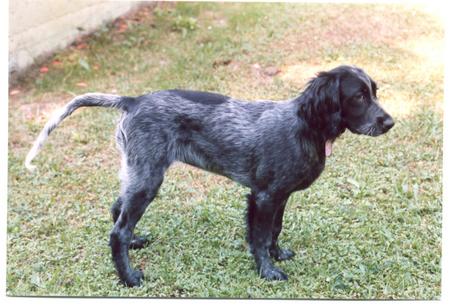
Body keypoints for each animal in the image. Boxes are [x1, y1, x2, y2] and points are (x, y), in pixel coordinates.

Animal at [24, 64, 394, 286]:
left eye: (374, 92)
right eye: (358, 96)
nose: (389, 122)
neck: (305, 126)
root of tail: (135, 100)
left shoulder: (279, 195)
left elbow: (274, 231)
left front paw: (277, 255)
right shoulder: (264, 196)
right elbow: (260, 237)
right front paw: (267, 271)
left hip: (139, 173)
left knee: (117, 210)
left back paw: (137, 242)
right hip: (148, 178)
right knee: (117, 232)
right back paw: (129, 277)